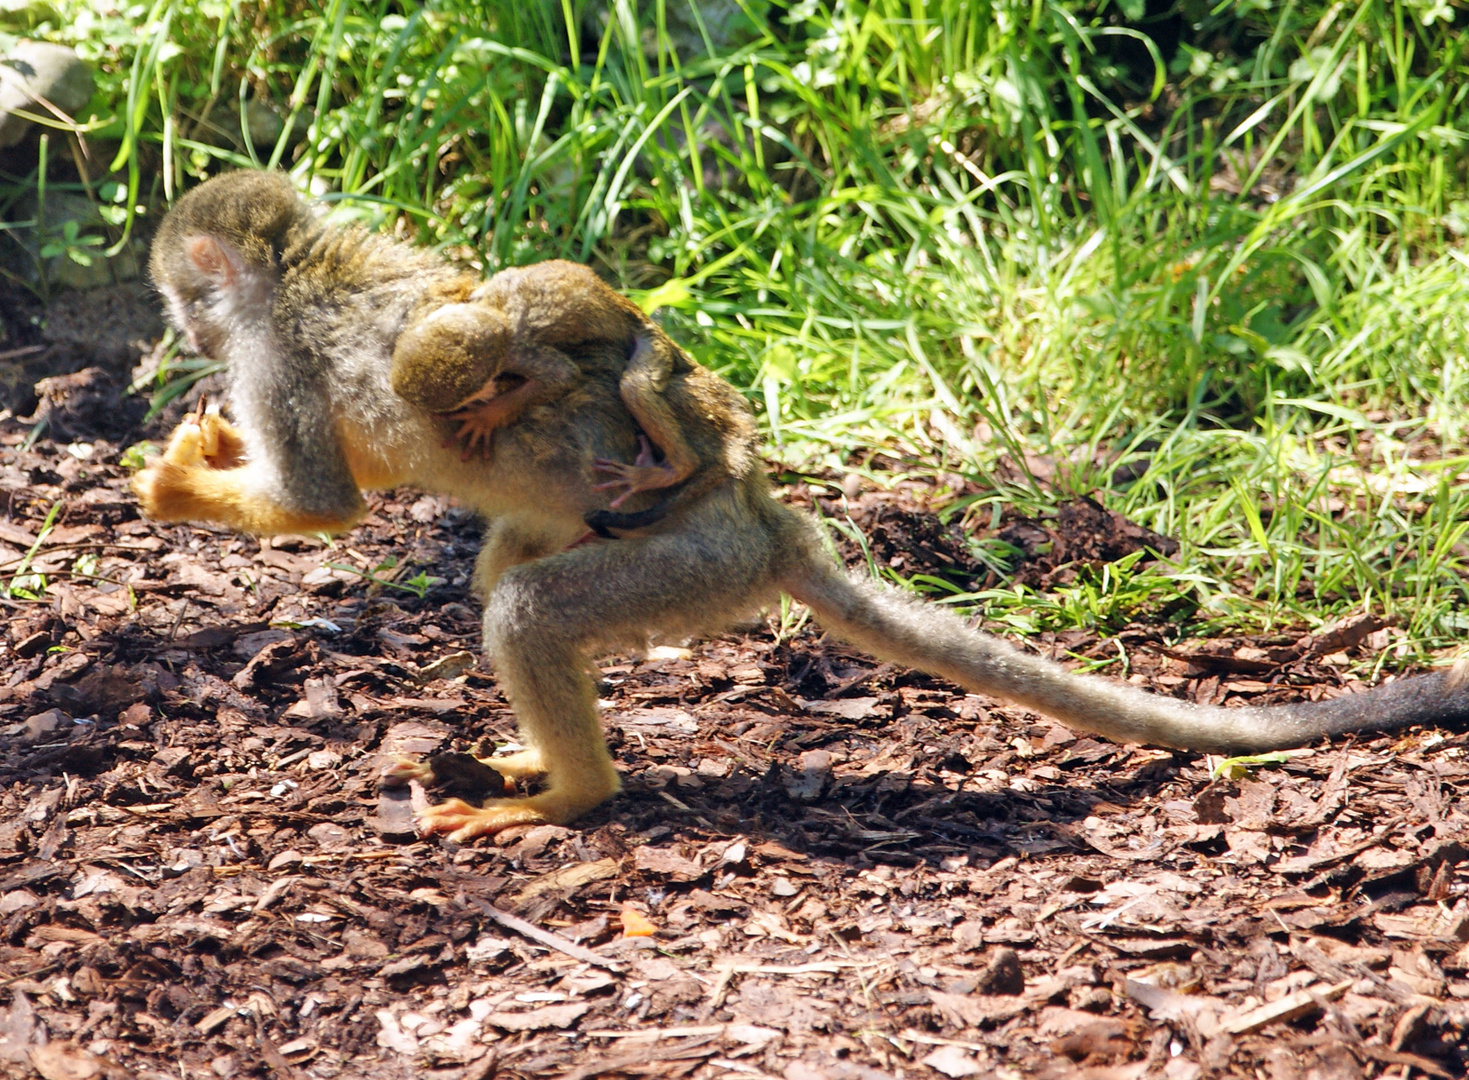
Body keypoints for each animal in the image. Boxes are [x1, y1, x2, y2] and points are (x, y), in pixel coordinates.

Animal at [390, 258, 758, 537]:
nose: (490, 391)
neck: (491, 314)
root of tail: (633, 310)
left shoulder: (516, 350)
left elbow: (563, 376)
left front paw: (486, 417)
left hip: (652, 344)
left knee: (634, 387)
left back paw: (674, 469)